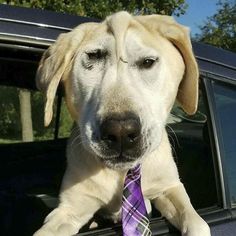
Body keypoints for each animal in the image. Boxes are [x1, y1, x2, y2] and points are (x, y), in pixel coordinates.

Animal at [33, 11, 210, 236]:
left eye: (148, 62)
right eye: (92, 58)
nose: (120, 132)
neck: (121, 172)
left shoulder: (169, 187)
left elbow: (196, 222)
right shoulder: (70, 209)